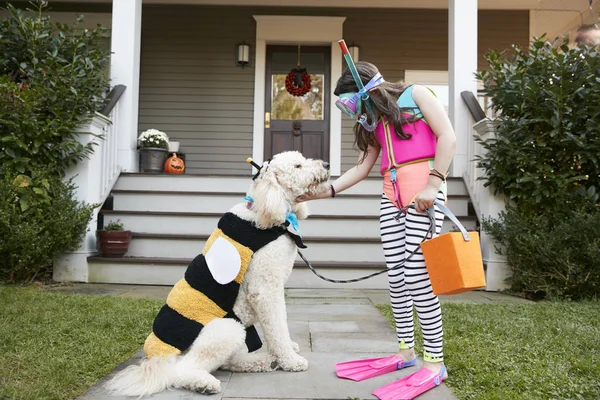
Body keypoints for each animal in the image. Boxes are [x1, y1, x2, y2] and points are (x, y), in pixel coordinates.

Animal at [105, 151, 330, 396]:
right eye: (298, 166)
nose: (327, 164)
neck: (264, 210)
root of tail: (158, 359)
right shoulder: (264, 289)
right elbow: (277, 327)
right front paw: (290, 360)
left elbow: (278, 328)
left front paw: (286, 351)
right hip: (226, 329)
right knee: (181, 371)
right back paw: (205, 383)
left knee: (228, 362)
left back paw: (261, 361)